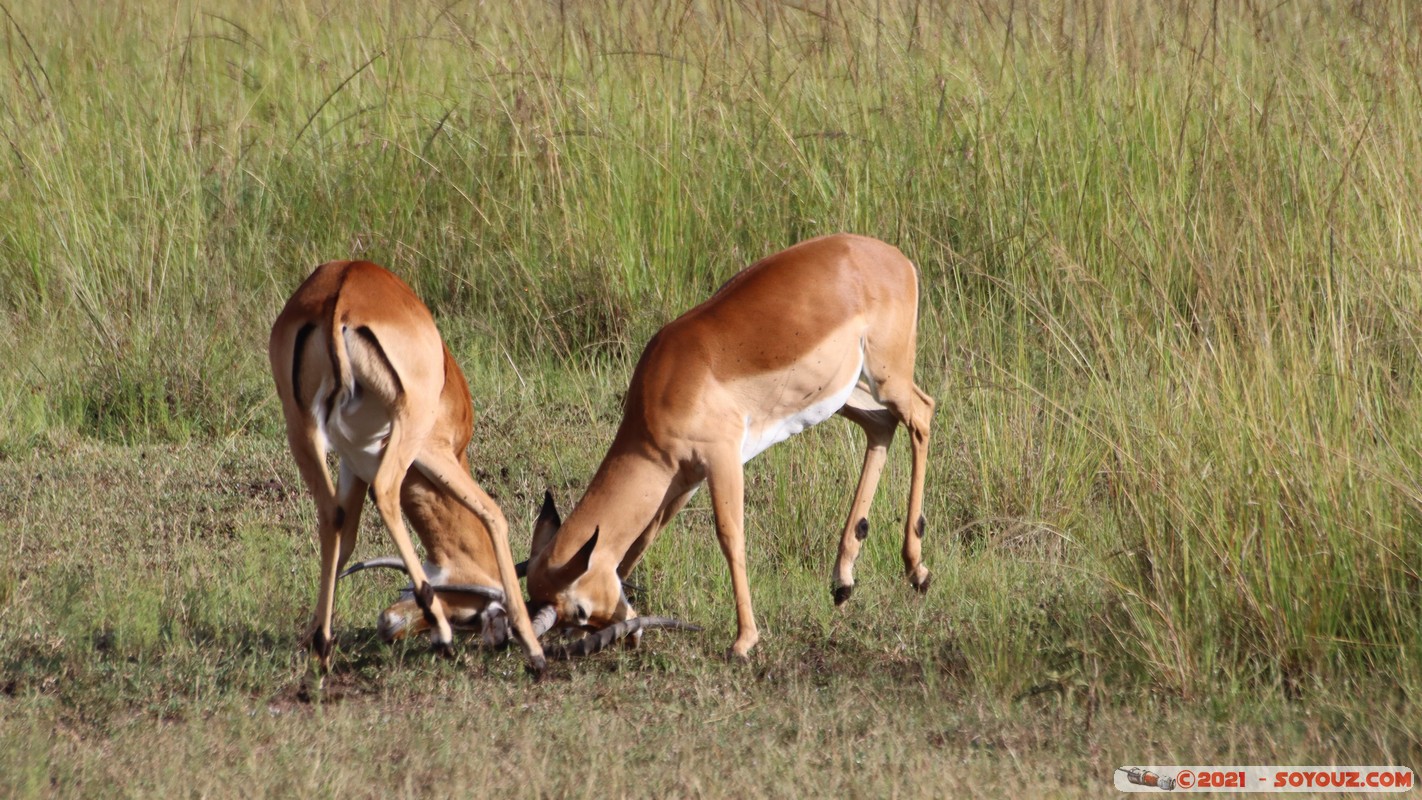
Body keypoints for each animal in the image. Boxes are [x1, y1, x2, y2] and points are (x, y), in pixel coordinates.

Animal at [525, 234, 936, 658]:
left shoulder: (721, 458)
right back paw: (843, 582)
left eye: (579, 610)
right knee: (882, 425)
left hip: (887, 378)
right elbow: (645, 536)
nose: (627, 633)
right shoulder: (681, 480)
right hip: (846, 395)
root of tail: (893, 256)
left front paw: (744, 640)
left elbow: (730, 537)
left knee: (922, 413)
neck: (666, 386)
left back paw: (917, 571)